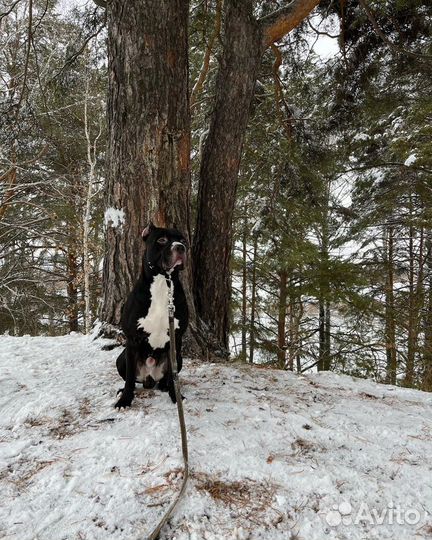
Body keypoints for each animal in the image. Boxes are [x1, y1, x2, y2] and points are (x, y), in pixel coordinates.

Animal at [115, 224, 189, 410]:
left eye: (183, 240)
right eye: (162, 240)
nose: (180, 247)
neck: (163, 281)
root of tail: (149, 379)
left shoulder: (176, 339)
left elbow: (173, 377)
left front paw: (176, 396)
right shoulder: (132, 339)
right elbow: (129, 379)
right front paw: (125, 400)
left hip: (179, 358)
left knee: (167, 377)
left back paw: (164, 386)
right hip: (121, 359)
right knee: (131, 378)